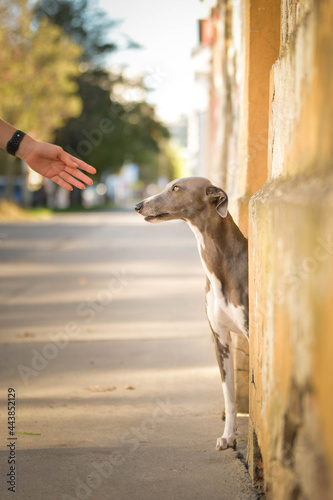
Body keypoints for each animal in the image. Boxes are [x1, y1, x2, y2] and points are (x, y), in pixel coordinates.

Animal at [134, 178, 248, 452]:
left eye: (176, 188)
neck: (221, 266)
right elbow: (229, 396)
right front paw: (228, 437)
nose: (138, 205)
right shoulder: (220, 339)